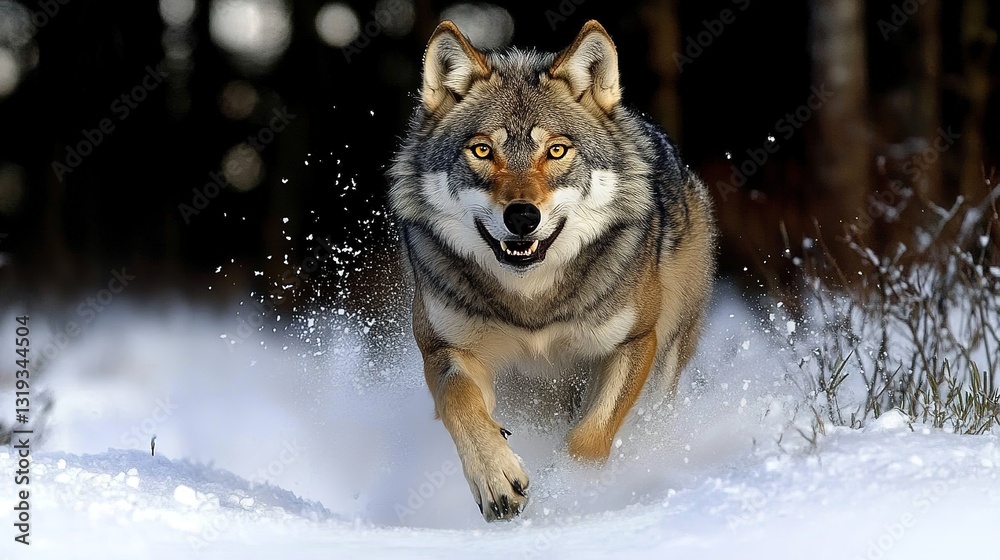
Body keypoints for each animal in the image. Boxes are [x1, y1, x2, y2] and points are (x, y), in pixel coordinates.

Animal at [387, 20, 716, 522]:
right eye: (482, 150)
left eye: (557, 151)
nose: (523, 216)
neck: (532, 302)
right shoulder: (445, 349)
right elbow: (460, 403)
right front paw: (496, 478)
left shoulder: (634, 341)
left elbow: (589, 438)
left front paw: (574, 490)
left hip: (665, 365)